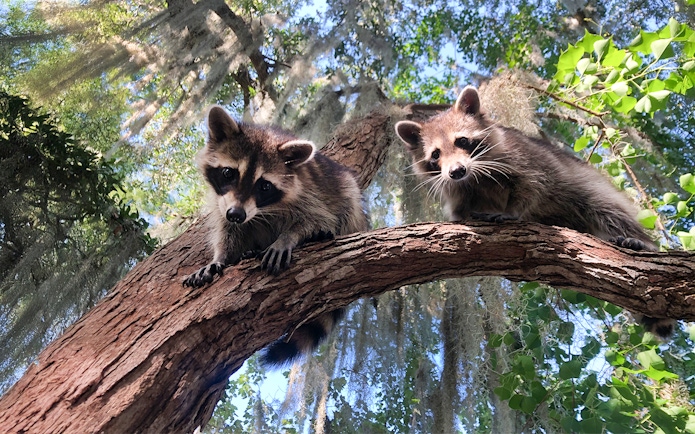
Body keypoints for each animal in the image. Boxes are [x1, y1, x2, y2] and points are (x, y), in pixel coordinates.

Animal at [184, 106, 369, 365]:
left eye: (264, 186)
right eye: (229, 173)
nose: (236, 214)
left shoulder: (311, 192)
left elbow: (317, 217)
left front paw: (289, 236)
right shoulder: (223, 204)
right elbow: (227, 231)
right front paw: (220, 257)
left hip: (349, 198)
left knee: (347, 202)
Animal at [395, 85, 675, 337]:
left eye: (462, 140)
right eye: (435, 155)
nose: (456, 171)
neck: (475, 174)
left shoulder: (522, 156)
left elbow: (534, 184)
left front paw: (512, 211)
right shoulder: (459, 190)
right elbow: (460, 208)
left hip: (588, 186)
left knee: (608, 209)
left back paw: (641, 241)